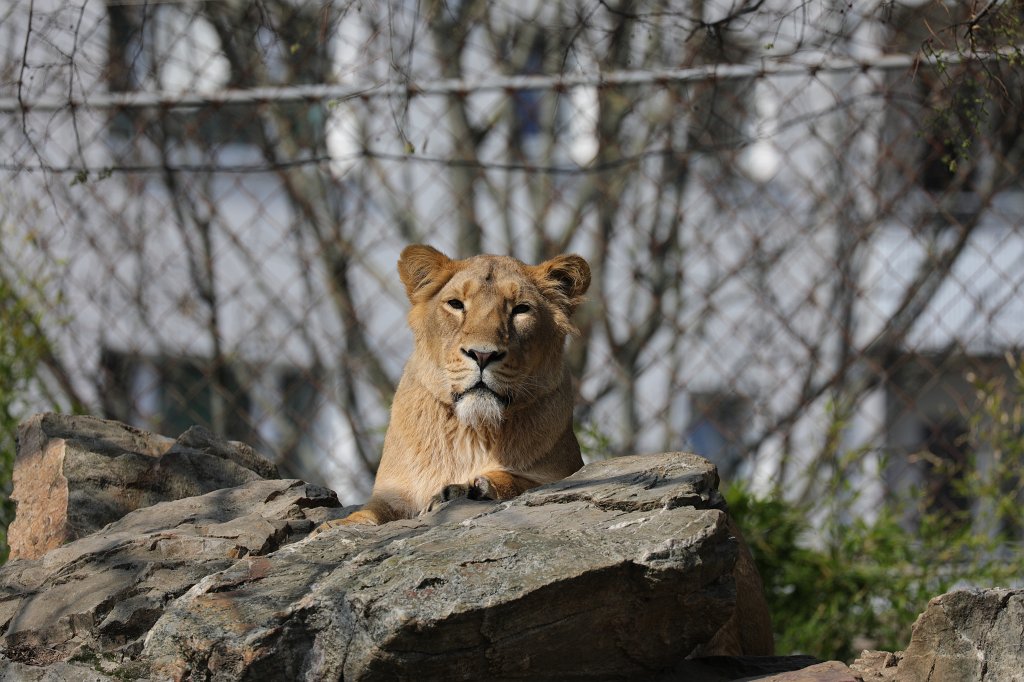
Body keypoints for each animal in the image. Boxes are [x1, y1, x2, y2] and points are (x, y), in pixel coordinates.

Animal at [317, 244, 591, 529]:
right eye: (456, 304)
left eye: (521, 309)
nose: (482, 355)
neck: (471, 432)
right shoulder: (393, 493)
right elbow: (368, 512)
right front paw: (336, 525)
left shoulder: (562, 473)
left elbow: (521, 481)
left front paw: (469, 488)